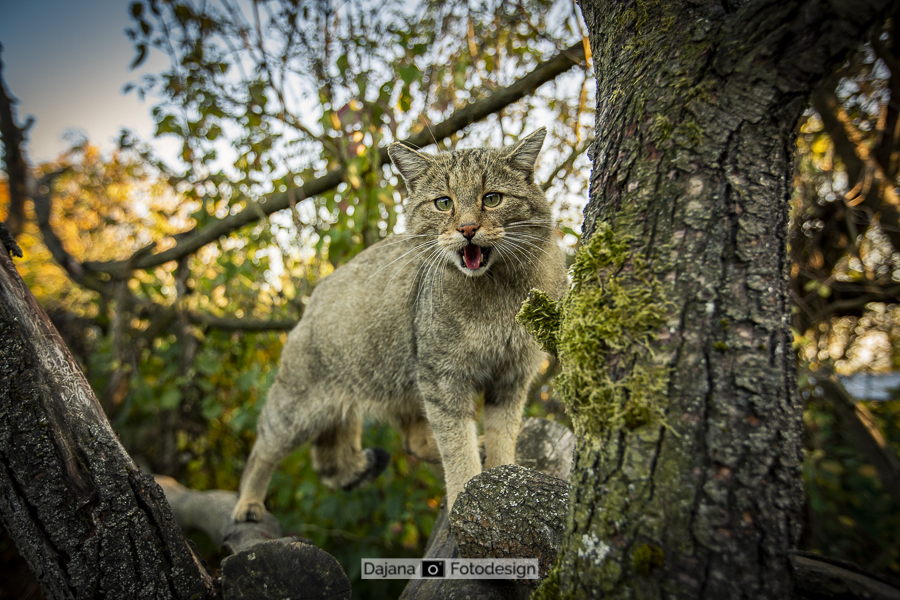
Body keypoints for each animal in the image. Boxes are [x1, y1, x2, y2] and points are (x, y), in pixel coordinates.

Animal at [232, 129, 568, 524]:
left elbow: (502, 437)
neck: (495, 294)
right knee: (262, 449)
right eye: (443, 203)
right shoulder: (443, 378)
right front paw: (462, 495)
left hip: (405, 384)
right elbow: (457, 447)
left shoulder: (512, 377)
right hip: (297, 407)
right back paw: (248, 502)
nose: (467, 228)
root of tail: (316, 296)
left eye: (492, 198)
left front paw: (500, 477)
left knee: (415, 440)